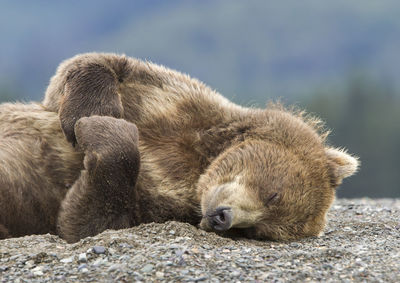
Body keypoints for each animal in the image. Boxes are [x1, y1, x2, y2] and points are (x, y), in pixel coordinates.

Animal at [0, 53, 360, 244]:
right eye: (274, 194)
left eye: (257, 231)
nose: (223, 218)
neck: (201, 164)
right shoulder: (177, 103)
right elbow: (89, 69)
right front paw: (91, 115)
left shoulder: (157, 207)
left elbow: (88, 220)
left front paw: (103, 131)